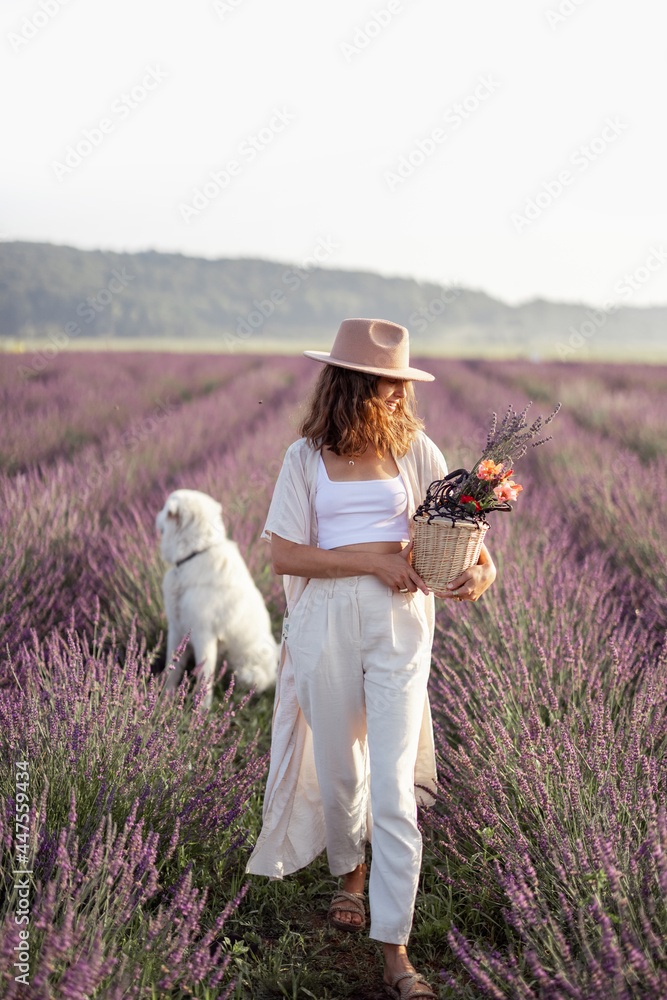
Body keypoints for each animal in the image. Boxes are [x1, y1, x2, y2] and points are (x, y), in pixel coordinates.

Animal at [157, 490, 280, 712]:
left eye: (164, 509)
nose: (155, 516)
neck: (195, 553)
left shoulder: (203, 635)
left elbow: (203, 680)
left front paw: (199, 712)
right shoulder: (176, 628)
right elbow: (172, 667)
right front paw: (164, 698)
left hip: (247, 671)